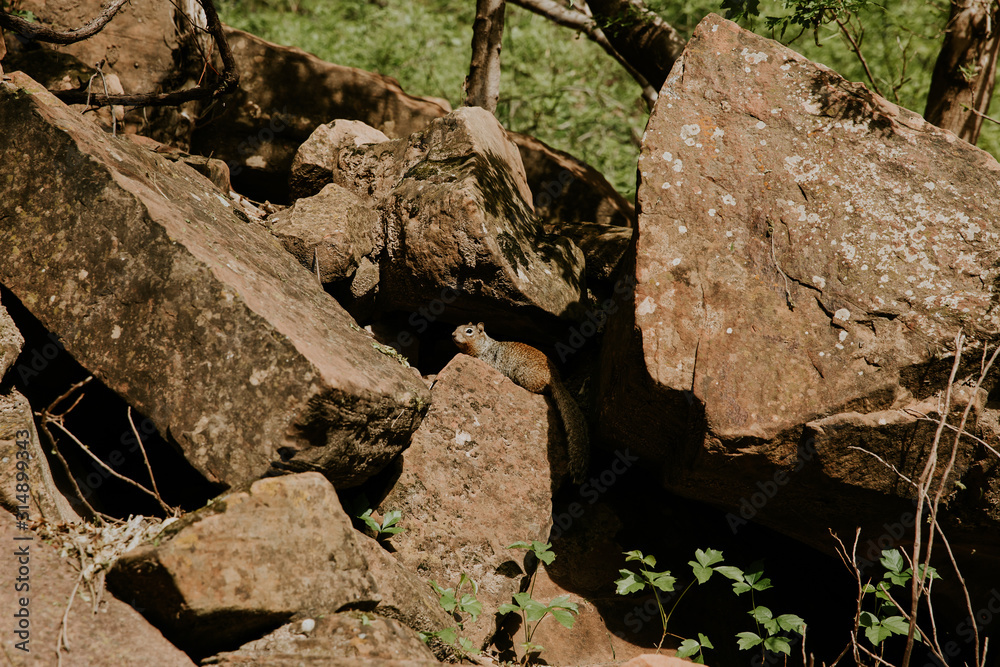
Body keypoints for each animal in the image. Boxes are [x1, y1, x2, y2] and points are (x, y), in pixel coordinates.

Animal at [452, 322, 589, 483]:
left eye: (469, 331)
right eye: (457, 327)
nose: (453, 335)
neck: (485, 346)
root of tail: (555, 378)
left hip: (524, 374)